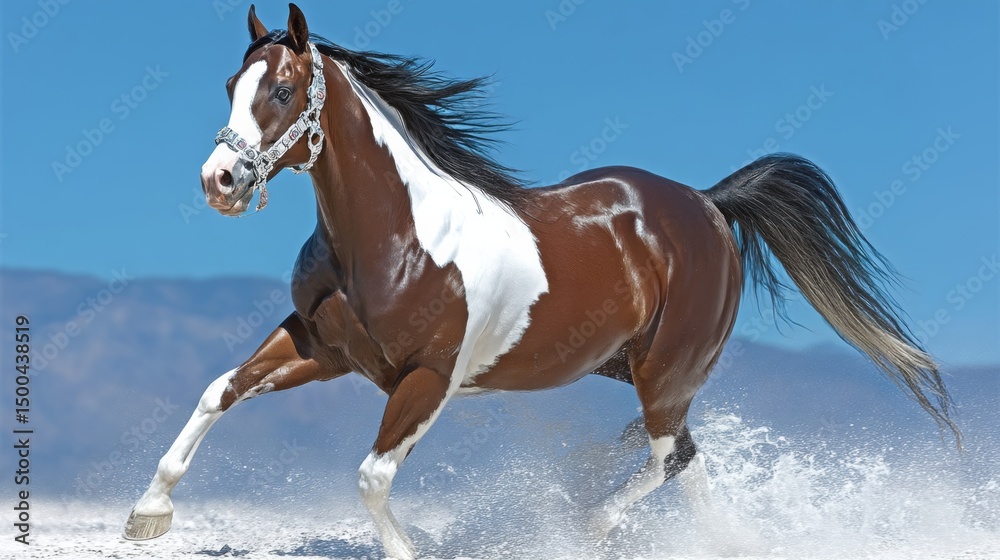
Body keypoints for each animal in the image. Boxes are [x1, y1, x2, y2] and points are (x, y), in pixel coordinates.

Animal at [124, 4, 958, 558]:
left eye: (283, 92)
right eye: (230, 84)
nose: (219, 182)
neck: (394, 239)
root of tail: (708, 204)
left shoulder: (427, 378)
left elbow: (371, 477)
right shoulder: (320, 350)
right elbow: (220, 391)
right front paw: (147, 513)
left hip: (667, 371)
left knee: (668, 455)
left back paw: (596, 525)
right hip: (633, 370)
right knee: (687, 459)